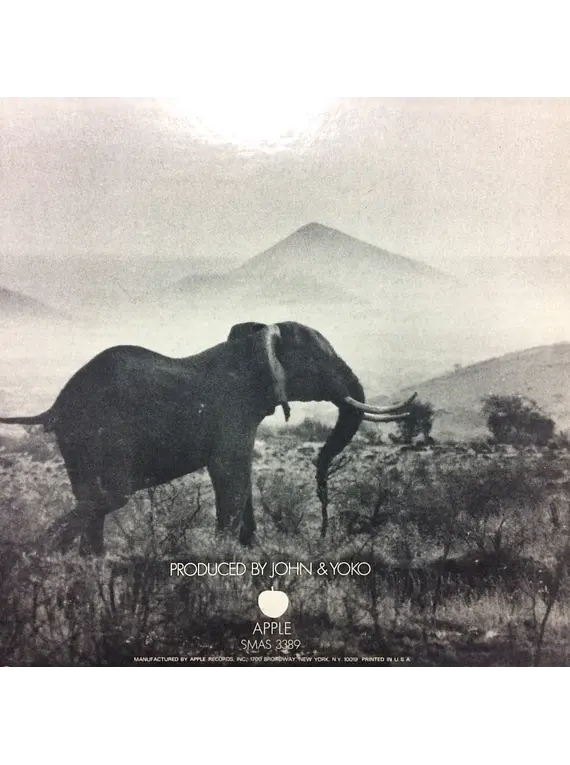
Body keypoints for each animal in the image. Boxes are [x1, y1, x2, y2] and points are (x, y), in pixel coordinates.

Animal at [0, 320, 416, 556]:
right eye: (318, 362)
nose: (325, 529)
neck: (255, 342)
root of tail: (56, 405)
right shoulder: (233, 410)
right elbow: (231, 471)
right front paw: (226, 554)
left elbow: (240, 477)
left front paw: (250, 551)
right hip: (102, 432)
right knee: (112, 495)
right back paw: (38, 551)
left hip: (77, 440)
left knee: (91, 495)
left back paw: (82, 558)